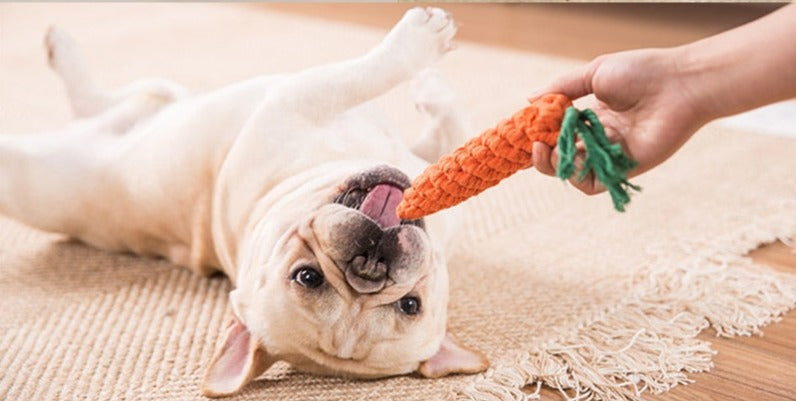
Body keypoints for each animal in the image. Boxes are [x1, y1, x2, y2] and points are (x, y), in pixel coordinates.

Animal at [0, 7, 488, 396]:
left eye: (411, 306)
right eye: (307, 277)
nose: (370, 265)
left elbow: (453, 137)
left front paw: (431, 83)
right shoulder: (294, 102)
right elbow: (371, 79)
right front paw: (423, 52)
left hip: (150, 104)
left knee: (112, 100)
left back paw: (63, 54)